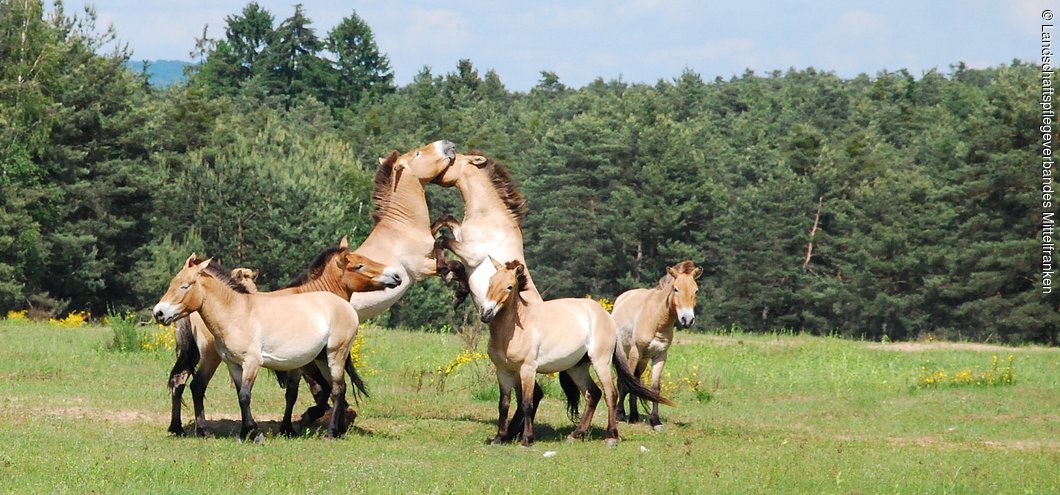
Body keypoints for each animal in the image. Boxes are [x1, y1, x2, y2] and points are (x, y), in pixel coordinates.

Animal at [167, 240, 398, 438]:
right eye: (360, 265)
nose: (396, 276)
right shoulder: (304, 365)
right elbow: (311, 392)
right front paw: (300, 422)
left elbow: (309, 392)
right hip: (210, 357)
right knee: (197, 386)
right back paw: (202, 429)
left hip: (191, 355)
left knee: (179, 382)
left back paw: (177, 428)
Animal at [481, 257, 669, 447]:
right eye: (490, 282)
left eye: (509, 286)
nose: (486, 313)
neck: (518, 329)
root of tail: (606, 316)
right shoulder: (503, 371)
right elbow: (504, 404)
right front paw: (499, 438)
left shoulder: (528, 369)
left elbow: (527, 403)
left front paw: (527, 439)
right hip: (577, 368)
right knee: (593, 394)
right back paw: (576, 434)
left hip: (601, 362)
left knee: (610, 394)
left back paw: (611, 437)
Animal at [614, 261, 703, 432]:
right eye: (676, 289)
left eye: (696, 290)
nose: (687, 319)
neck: (657, 319)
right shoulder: (635, 353)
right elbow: (625, 385)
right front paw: (618, 415)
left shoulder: (660, 356)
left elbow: (655, 388)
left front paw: (655, 421)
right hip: (627, 355)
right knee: (624, 381)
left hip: (643, 360)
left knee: (636, 380)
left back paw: (634, 415)